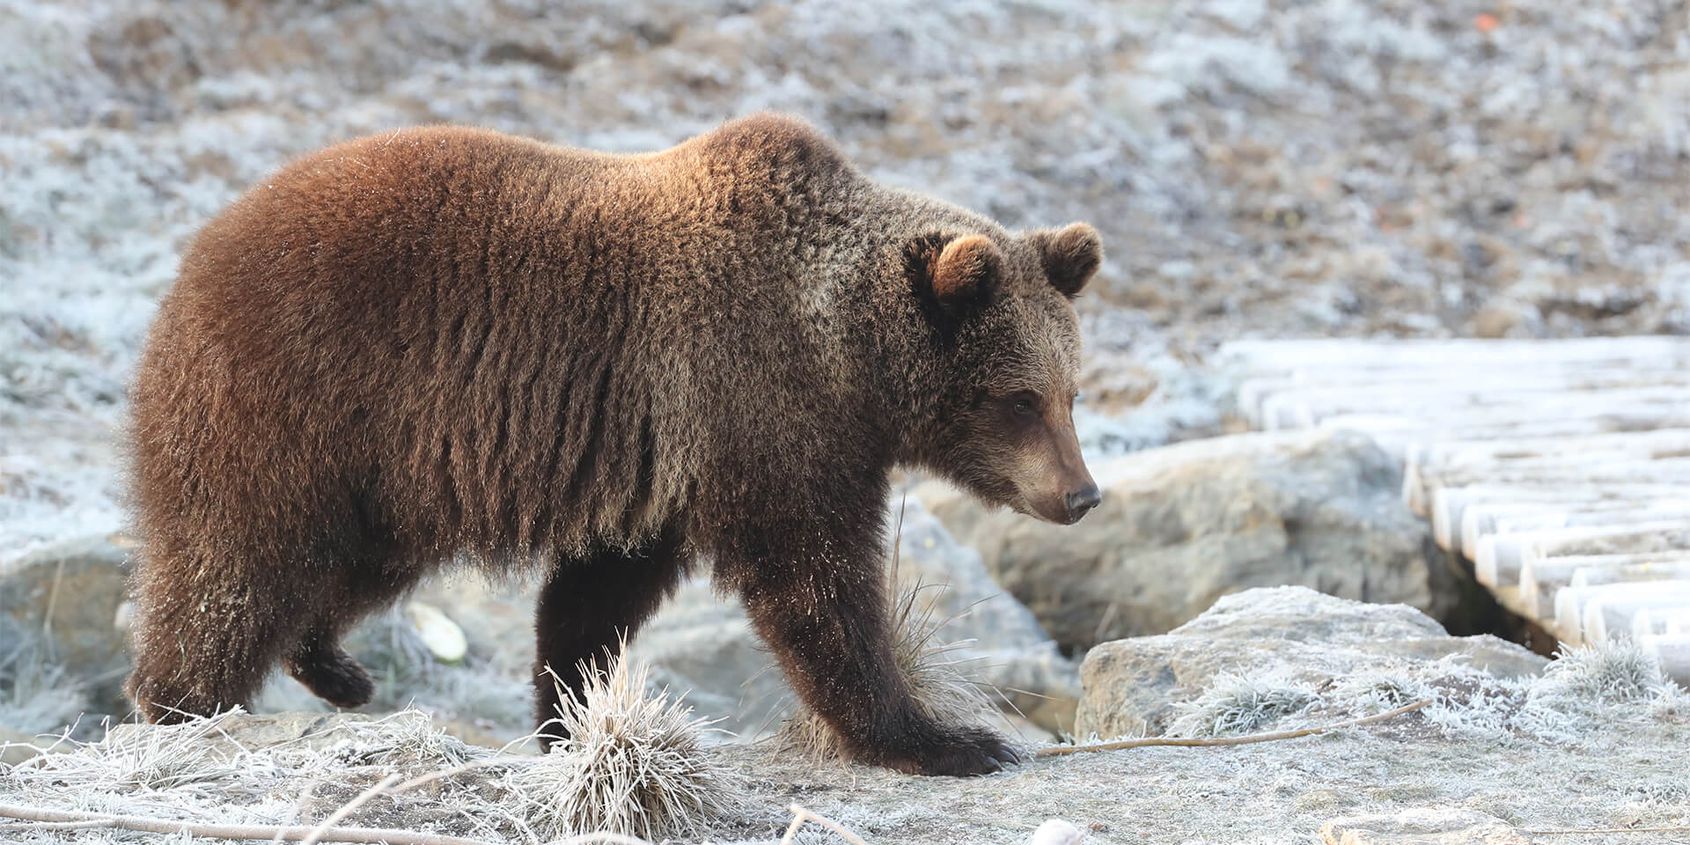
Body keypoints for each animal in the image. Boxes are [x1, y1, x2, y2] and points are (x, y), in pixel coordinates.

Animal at [135, 114, 1108, 777]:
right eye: (1018, 398)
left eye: (1071, 391)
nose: (1082, 493)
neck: (845, 353)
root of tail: (194, 259)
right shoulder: (761, 409)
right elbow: (817, 586)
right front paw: (945, 736)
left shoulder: (659, 459)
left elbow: (595, 597)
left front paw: (567, 714)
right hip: (297, 405)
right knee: (234, 571)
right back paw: (178, 708)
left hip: (380, 469)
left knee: (345, 564)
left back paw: (336, 669)